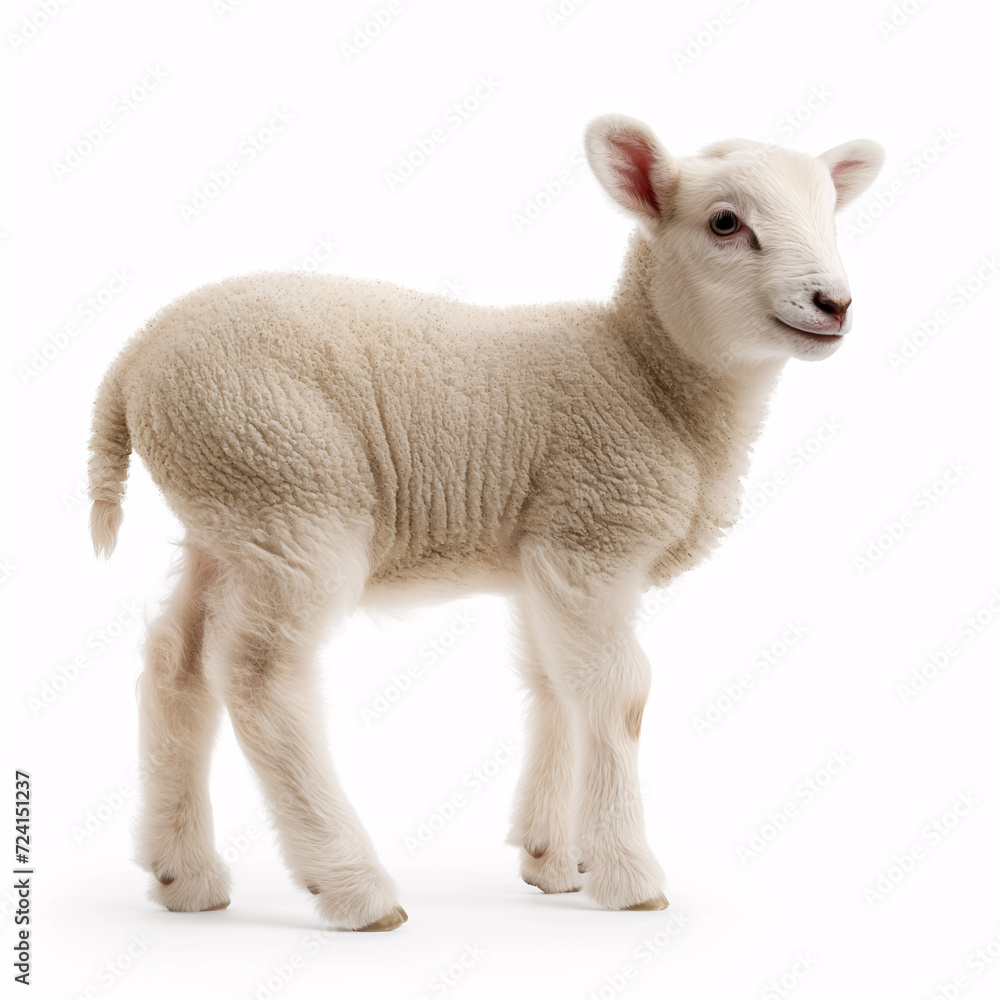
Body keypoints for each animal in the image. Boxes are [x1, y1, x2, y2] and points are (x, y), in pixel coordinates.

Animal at [88, 114, 884, 931]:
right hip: (289, 495)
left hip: (224, 513)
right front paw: (628, 874)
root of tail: (134, 360)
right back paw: (353, 886)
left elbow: (555, 682)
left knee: (176, 663)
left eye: (831, 214)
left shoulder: (545, 552)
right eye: (726, 222)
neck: (646, 372)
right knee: (260, 678)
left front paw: (553, 859)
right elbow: (618, 693)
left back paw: (184, 875)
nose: (835, 303)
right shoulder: (592, 530)